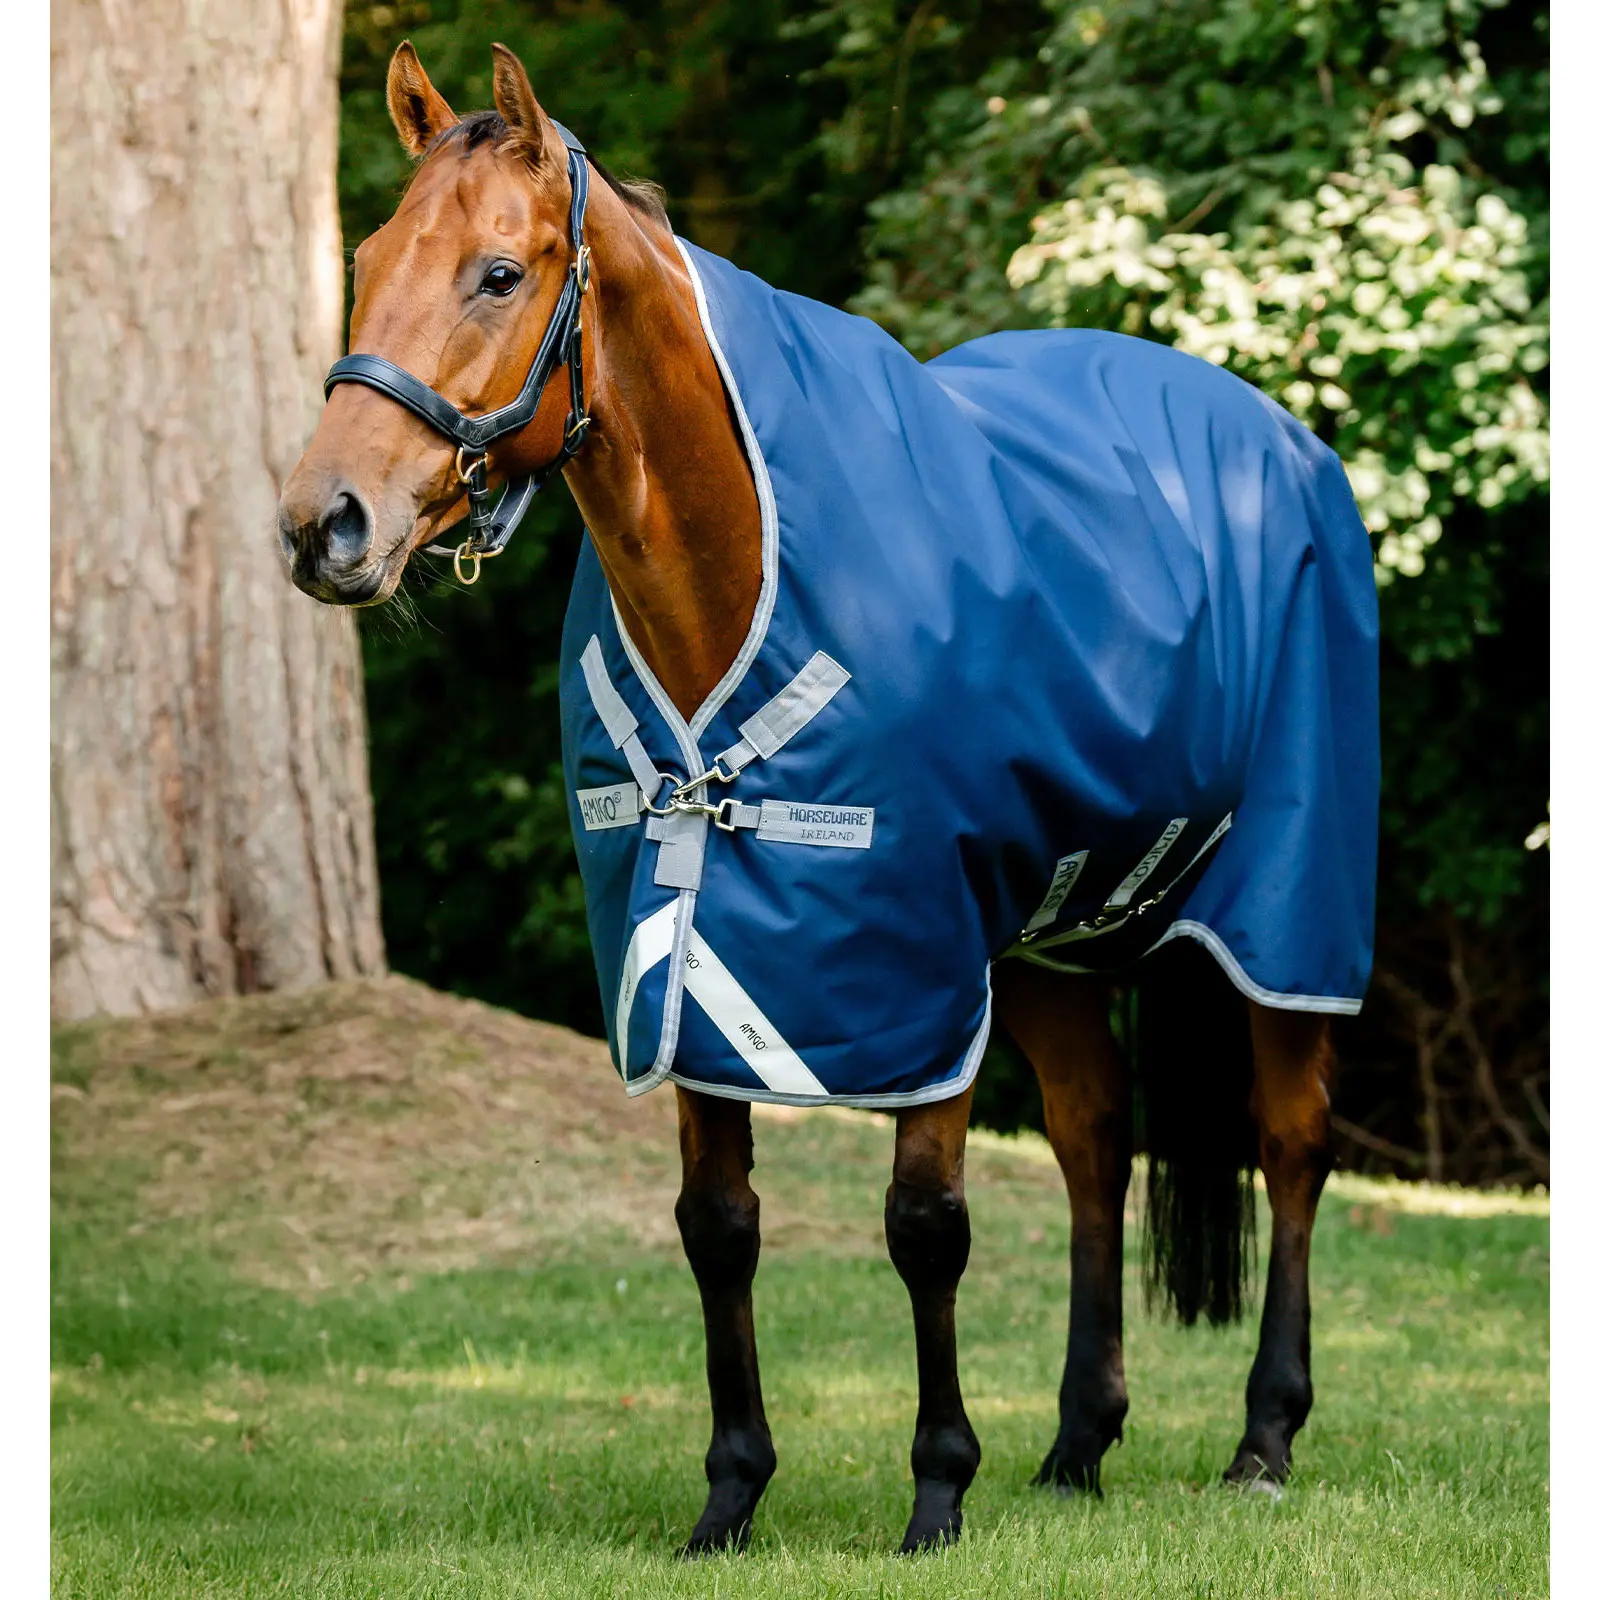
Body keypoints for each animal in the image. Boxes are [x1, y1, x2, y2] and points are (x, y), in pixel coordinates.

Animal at [278, 41, 1375, 1556]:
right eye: (369, 256)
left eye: (499, 273)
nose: (323, 526)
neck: (742, 565)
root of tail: (1283, 442)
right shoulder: (681, 958)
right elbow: (717, 1222)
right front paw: (731, 1496)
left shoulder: (916, 966)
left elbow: (926, 1225)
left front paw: (936, 1491)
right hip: (1045, 940)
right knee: (1096, 1141)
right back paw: (1075, 1446)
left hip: (1283, 909)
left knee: (1292, 1143)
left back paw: (1264, 1436)